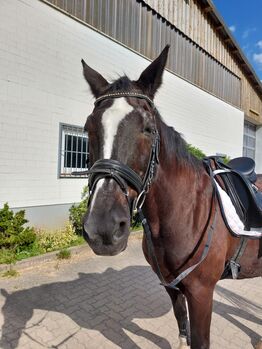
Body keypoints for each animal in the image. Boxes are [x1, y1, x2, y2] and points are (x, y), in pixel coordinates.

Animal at [80, 44, 262, 346]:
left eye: (148, 128)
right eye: (88, 128)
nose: (103, 230)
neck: (184, 212)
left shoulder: (201, 293)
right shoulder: (172, 286)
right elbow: (181, 328)